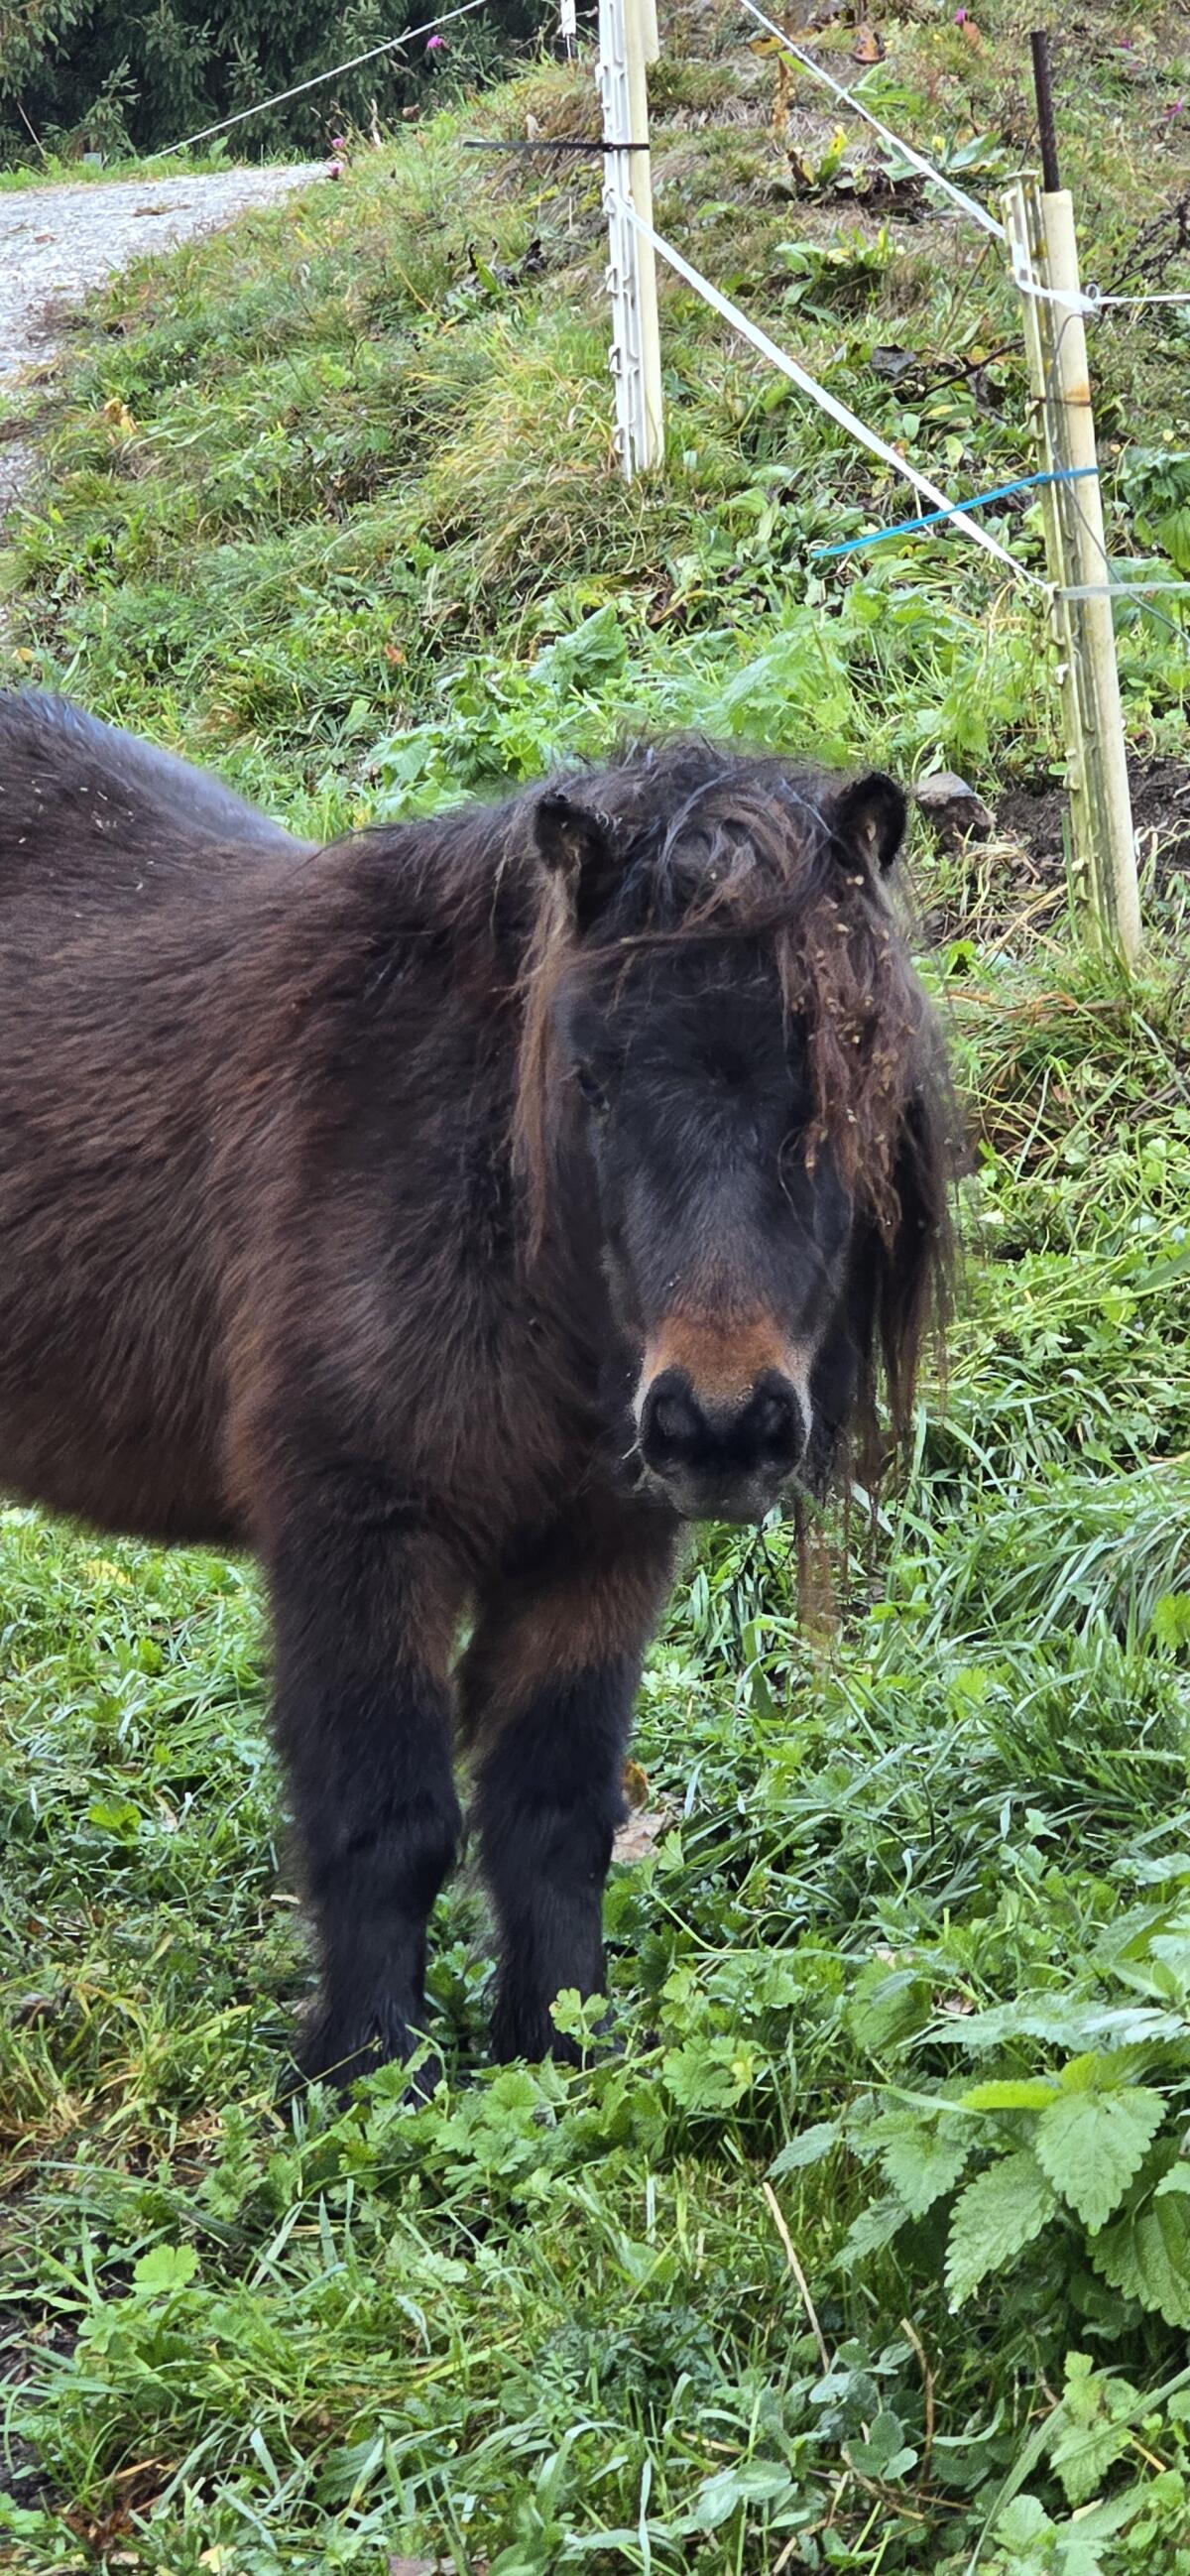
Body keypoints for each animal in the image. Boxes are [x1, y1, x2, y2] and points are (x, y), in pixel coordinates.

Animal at [0, 690, 953, 2086]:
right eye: (594, 1077)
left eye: (845, 1073)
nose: (721, 1424)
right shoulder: (360, 1539)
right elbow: (386, 1821)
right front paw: (363, 2070)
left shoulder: (598, 1553)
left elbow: (551, 1816)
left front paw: (559, 2044)